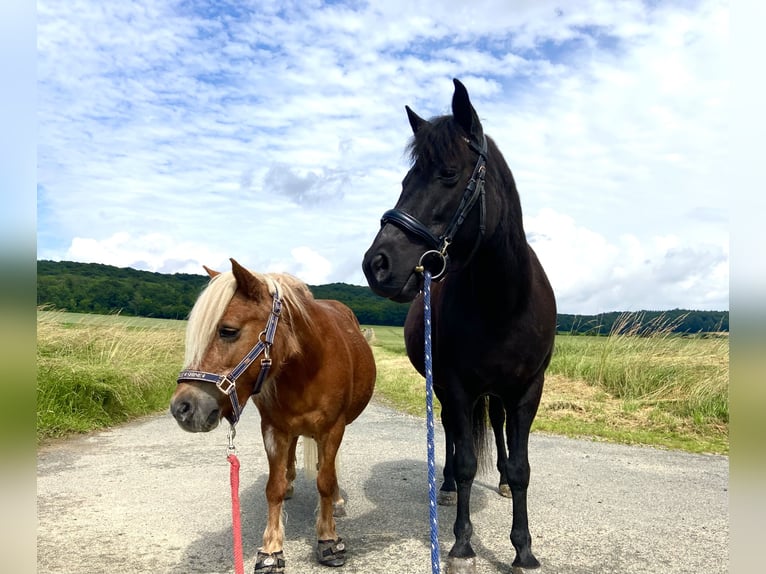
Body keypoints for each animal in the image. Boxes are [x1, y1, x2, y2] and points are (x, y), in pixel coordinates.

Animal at [173, 262, 378, 574]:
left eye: (228, 331)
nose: (182, 408)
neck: (307, 367)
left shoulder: (333, 429)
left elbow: (325, 480)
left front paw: (329, 540)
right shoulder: (272, 429)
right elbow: (274, 488)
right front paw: (271, 550)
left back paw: (337, 500)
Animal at [364, 79, 556, 572]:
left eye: (448, 174)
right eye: (405, 181)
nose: (377, 264)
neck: (503, 303)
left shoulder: (526, 390)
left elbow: (522, 468)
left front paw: (523, 549)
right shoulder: (454, 383)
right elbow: (467, 458)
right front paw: (462, 545)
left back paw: (499, 480)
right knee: (451, 433)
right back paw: (447, 485)